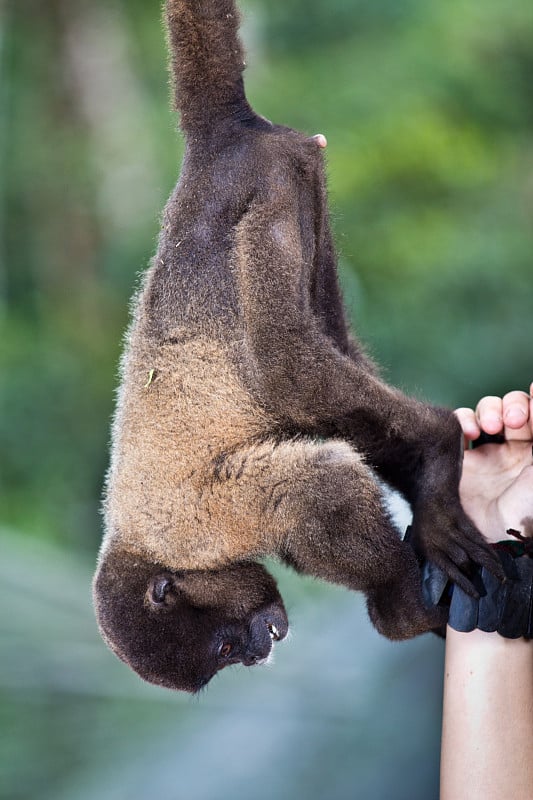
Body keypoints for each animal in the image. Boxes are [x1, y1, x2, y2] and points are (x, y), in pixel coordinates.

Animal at [92, 0, 502, 692]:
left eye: (225, 646)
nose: (262, 649)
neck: (138, 545)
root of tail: (217, 145)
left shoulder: (206, 520)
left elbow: (314, 492)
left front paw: (399, 607)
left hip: (268, 183)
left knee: (287, 366)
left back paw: (438, 443)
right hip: (303, 174)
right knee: (324, 350)